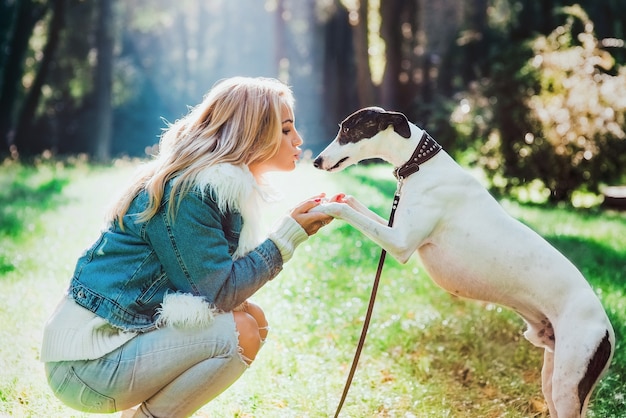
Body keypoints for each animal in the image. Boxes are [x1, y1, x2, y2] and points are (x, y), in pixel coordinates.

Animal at [310, 107, 612, 418]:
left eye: (348, 131)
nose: (316, 162)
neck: (420, 164)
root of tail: (607, 331)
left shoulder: (401, 243)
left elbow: (346, 210)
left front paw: (325, 206)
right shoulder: (396, 228)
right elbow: (355, 203)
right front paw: (335, 197)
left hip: (567, 385)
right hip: (552, 378)